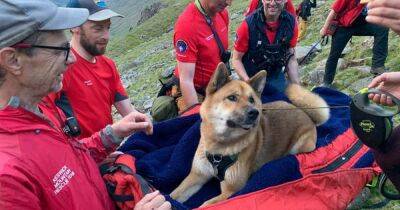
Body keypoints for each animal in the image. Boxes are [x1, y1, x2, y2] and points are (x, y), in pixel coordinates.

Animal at [170, 62, 330, 207]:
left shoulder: (231, 190)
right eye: (232, 98)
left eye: (252, 99)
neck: (219, 147)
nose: (254, 112)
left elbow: (204, 205)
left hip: (300, 146)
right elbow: (174, 194)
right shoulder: (197, 176)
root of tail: (305, 113)